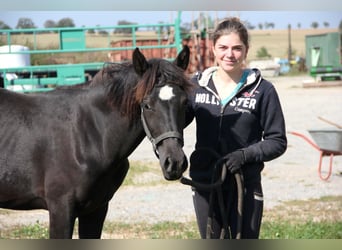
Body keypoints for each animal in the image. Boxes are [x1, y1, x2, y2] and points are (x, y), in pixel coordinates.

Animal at [0, 46, 192, 239]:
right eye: (147, 105)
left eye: (184, 102)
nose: (175, 162)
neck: (87, 134)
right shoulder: (60, 208)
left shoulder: (96, 209)